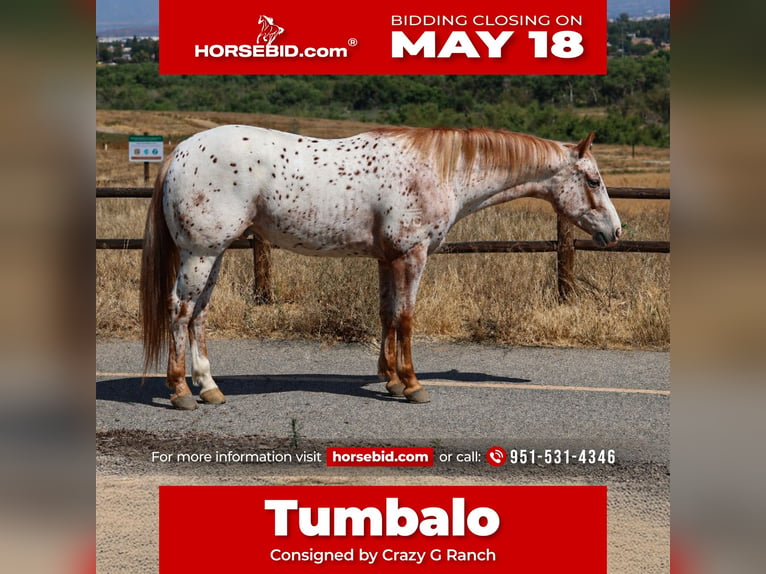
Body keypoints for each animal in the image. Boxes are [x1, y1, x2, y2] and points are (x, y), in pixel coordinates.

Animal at [141, 126, 621, 410]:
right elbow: (406, 319)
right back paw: (180, 391)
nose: (615, 231)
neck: (440, 170)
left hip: (215, 254)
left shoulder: (387, 260)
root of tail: (179, 153)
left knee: (199, 315)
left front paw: (388, 378)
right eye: (594, 180)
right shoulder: (412, 256)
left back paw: (210, 388)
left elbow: (387, 315)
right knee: (180, 311)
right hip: (200, 253)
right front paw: (411, 384)